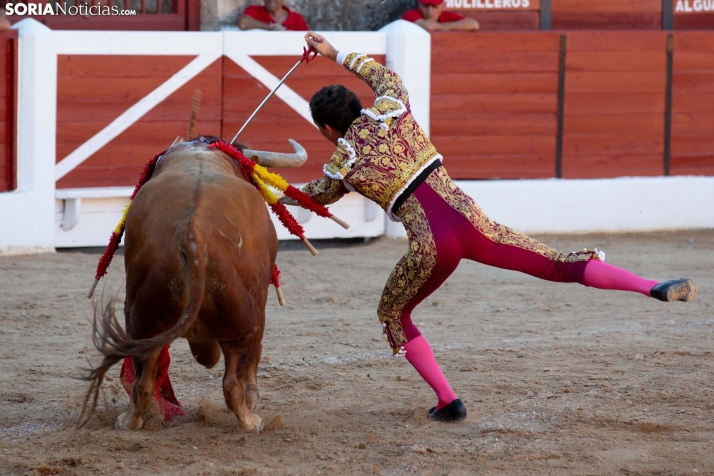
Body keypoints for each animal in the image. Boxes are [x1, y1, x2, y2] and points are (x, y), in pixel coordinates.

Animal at [78, 137, 306, 432]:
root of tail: (192, 233)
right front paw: (253, 401)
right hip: (245, 323)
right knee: (234, 380)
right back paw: (250, 420)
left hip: (145, 322)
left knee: (143, 382)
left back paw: (131, 420)